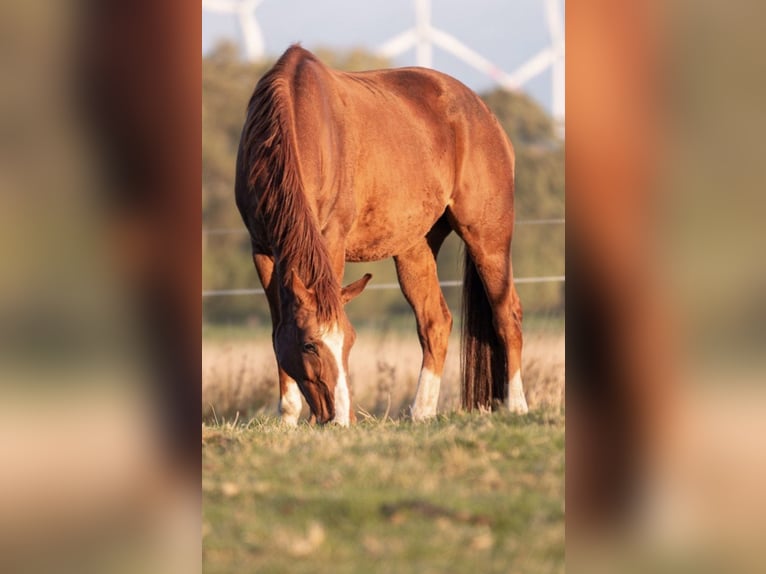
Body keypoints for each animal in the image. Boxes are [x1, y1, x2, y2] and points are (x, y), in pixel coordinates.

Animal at [235, 45, 528, 426]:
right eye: (309, 345)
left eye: (350, 341)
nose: (340, 419)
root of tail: (485, 114)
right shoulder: (262, 248)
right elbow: (276, 329)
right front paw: (287, 418)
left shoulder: (331, 241)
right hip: (415, 247)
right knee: (435, 321)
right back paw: (421, 413)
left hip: (488, 237)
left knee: (507, 314)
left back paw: (517, 405)